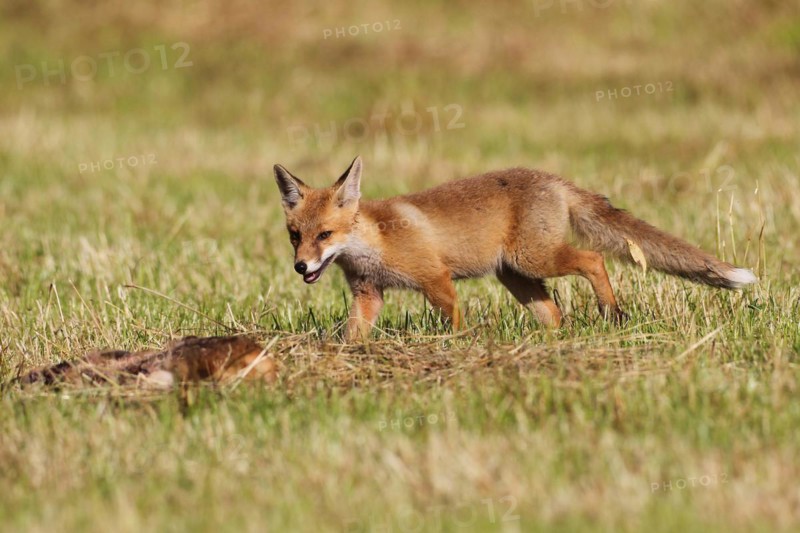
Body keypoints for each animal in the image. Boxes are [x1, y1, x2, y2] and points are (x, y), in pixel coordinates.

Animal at [273, 156, 756, 340]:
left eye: (325, 235)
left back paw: (612, 312)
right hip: (517, 276)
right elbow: (352, 334)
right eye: (295, 235)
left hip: (534, 259)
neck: (374, 241)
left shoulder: (435, 278)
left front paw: (461, 347)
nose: (299, 267)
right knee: (554, 313)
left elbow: (454, 321)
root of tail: (554, 179)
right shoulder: (367, 294)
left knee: (593, 258)